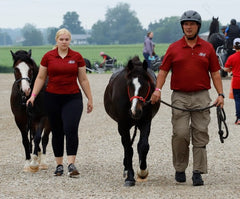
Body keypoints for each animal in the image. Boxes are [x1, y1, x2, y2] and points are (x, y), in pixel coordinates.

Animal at [104, 55, 160, 186]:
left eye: (145, 85)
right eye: (129, 85)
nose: (136, 110)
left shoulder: (145, 122)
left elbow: (143, 146)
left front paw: (142, 171)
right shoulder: (123, 125)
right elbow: (128, 149)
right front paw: (130, 177)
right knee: (126, 146)